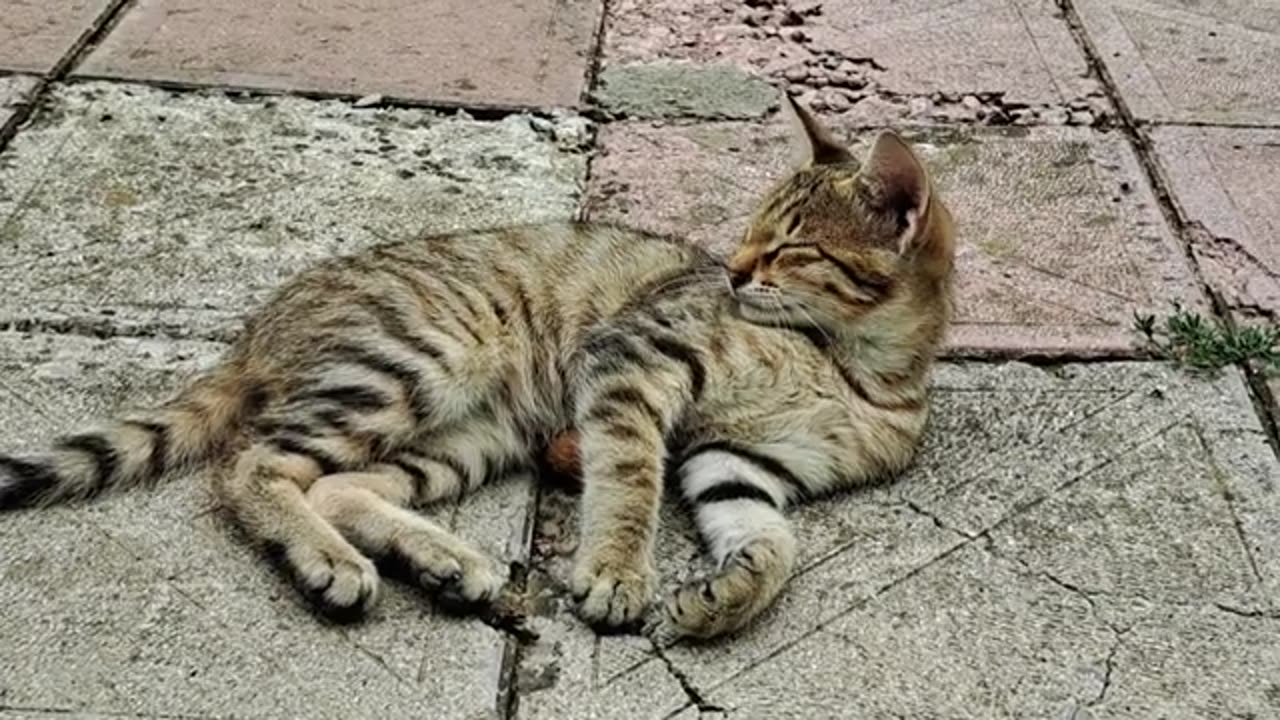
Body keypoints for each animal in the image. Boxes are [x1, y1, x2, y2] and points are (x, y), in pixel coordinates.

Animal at [0, 96, 952, 638]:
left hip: (474, 434)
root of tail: (257, 328)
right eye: (749, 232)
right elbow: (630, 481)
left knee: (337, 486)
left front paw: (725, 597)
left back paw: (444, 563)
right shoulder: (632, 360)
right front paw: (616, 571)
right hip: (418, 362)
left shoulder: (740, 462)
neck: (856, 367)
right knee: (253, 465)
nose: (731, 271)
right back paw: (331, 563)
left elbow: (774, 542)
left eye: (790, 248)